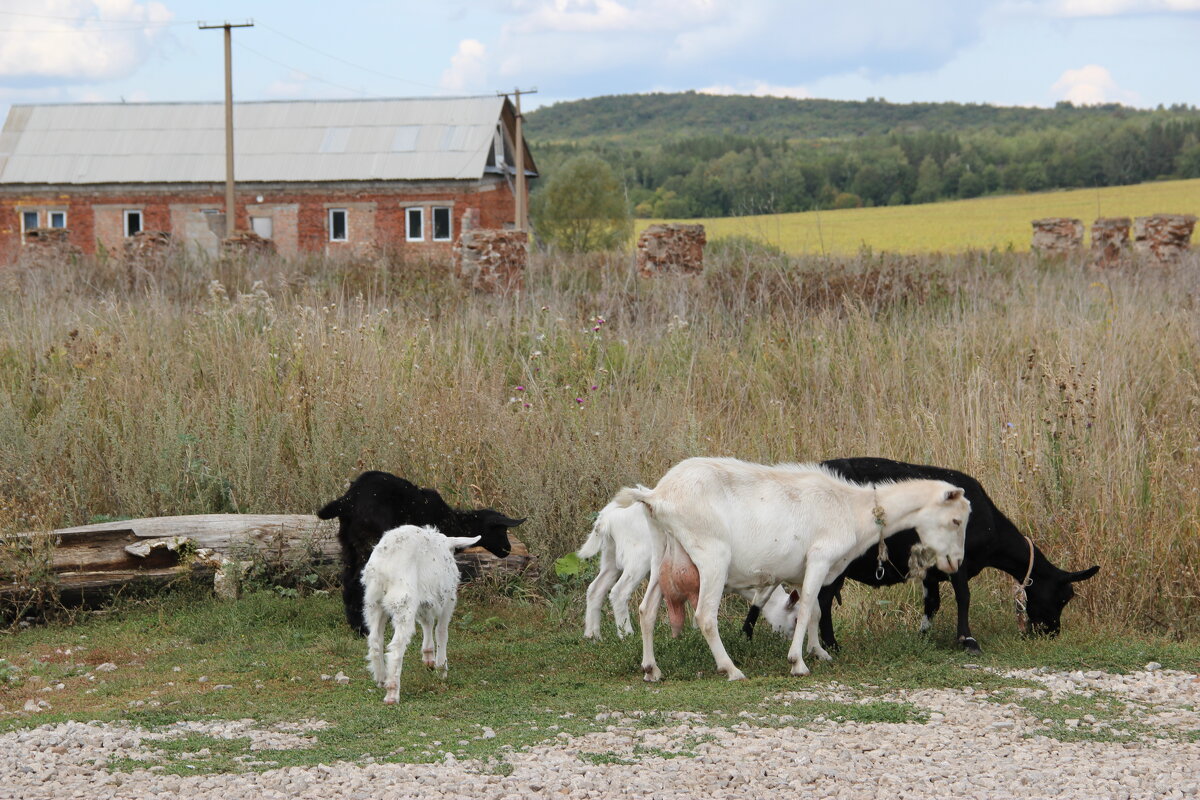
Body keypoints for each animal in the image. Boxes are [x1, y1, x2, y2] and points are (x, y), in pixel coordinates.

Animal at [319, 472, 525, 633]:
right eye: (502, 530)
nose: (508, 550)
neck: (452, 521)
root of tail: (348, 500)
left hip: (349, 544)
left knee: (347, 579)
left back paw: (355, 623)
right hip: (369, 542)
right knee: (357, 581)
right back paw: (362, 628)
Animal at [362, 525, 480, 700]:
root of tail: (386, 563)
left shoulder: (425, 600)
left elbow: (427, 622)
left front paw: (429, 657)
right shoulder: (448, 600)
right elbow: (441, 631)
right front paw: (441, 668)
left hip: (374, 601)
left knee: (375, 640)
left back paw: (381, 678)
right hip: (404, 600)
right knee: (397, 646)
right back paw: (392, 693)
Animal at [578, 496, 796, 642]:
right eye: (794, 618)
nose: (786, 640)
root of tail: (607, 518)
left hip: (610, 557)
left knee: (596, 589)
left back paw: (592, 634)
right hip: (636, 559)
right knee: (618, 592)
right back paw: (626, 634)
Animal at [614, 455, 969, 681]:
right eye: (955, 520)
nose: (956, 562)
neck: (854, 509)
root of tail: (657, 496)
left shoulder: (802, 570)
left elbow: (812, 610)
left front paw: (818, 652)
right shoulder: (821, 559)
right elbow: (810, 605)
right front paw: (798, 662)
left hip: (663, 553)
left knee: (646, 610)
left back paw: (651, 670)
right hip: (712, 556)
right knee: (704, 615)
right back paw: (731, 669)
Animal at [744, 460, 1099, 652]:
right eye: (1065, 596)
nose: (1052, 633)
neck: (988, 522)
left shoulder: (933, 569)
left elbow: (933, 602)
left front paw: (924, 634)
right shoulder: (958, 561)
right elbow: (964, 597)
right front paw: (968, 640)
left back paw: (749, 633)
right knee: (822, 597)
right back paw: (830, 644)